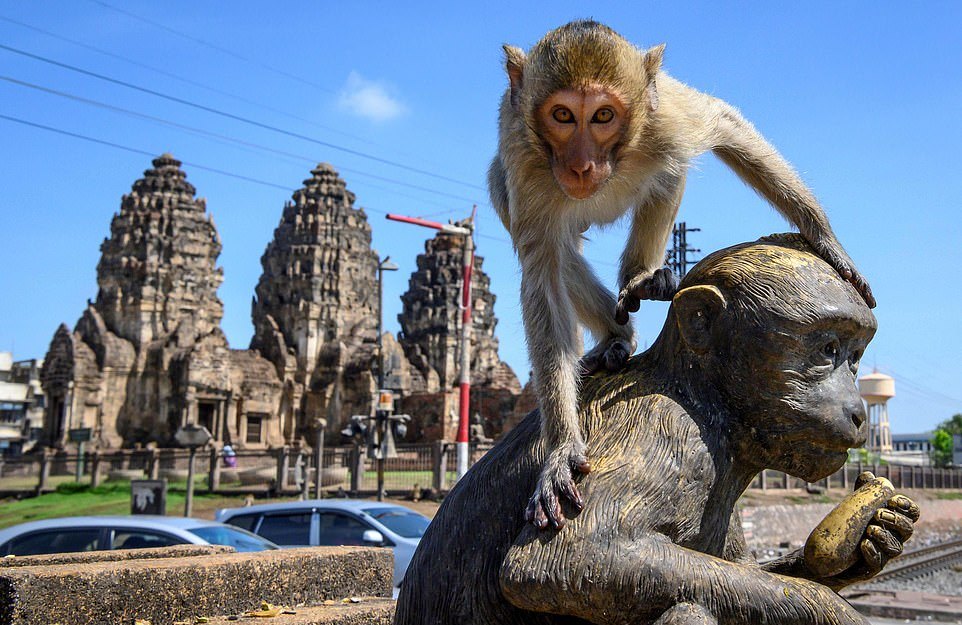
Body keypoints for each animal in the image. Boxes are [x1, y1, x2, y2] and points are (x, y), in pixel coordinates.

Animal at [396, 234, 916, 624]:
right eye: (827, 349)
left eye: (855, 356)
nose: (857, 411)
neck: (704, 399)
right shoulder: (668, 434)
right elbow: (558, 562)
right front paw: (829, 607)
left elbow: (745, 569)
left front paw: (873, 536)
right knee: (687, 606)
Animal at [492, 19, 872, 528]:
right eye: (563, 115)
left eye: (603, 116)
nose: (581, 166)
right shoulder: (526, 161)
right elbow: (543, 274)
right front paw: (561, 450)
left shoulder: (667, 120)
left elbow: (724, 123)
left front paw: (826, 238)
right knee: (544, 237)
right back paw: (617, 335)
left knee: (669, 171)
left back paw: (642, 278)